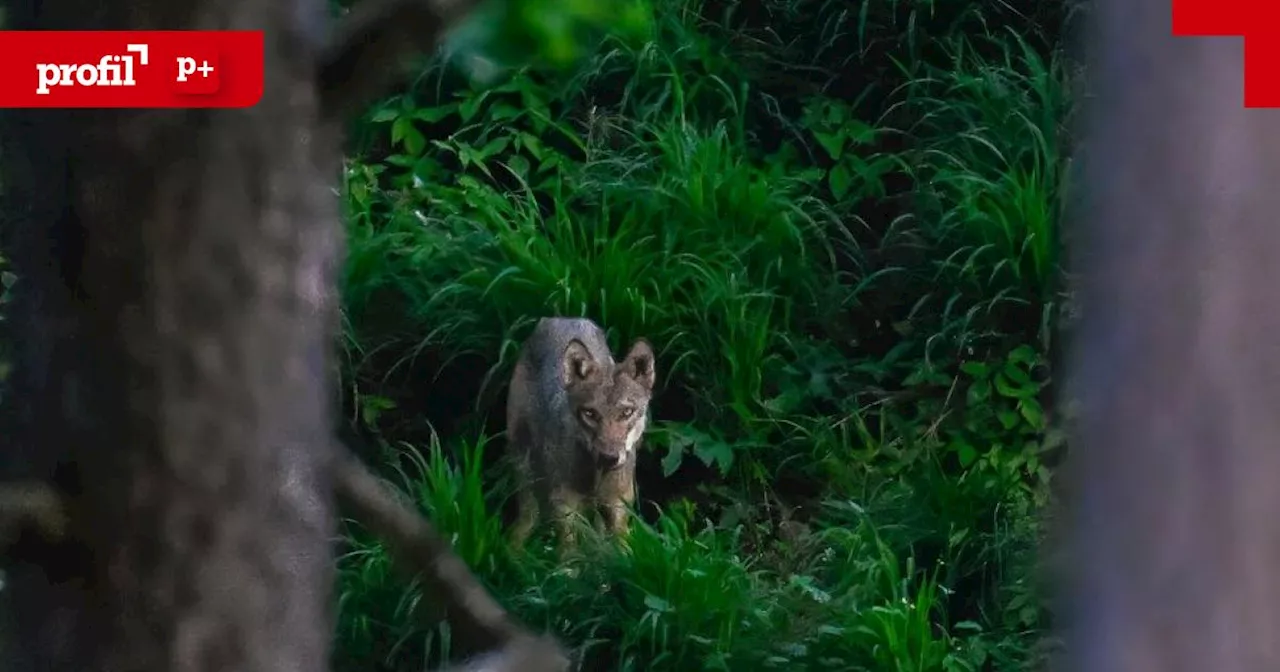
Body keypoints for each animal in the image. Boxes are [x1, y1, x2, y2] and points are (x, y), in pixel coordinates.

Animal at [501, 317, 655, 552]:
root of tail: (562, 319)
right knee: (526, 521)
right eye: (590, 413)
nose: (609, 457)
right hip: (524, 470)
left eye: (626, 412)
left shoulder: (618, 506)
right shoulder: (565, 507)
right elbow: (570, 553)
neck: (596, 479)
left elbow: (621, 550)